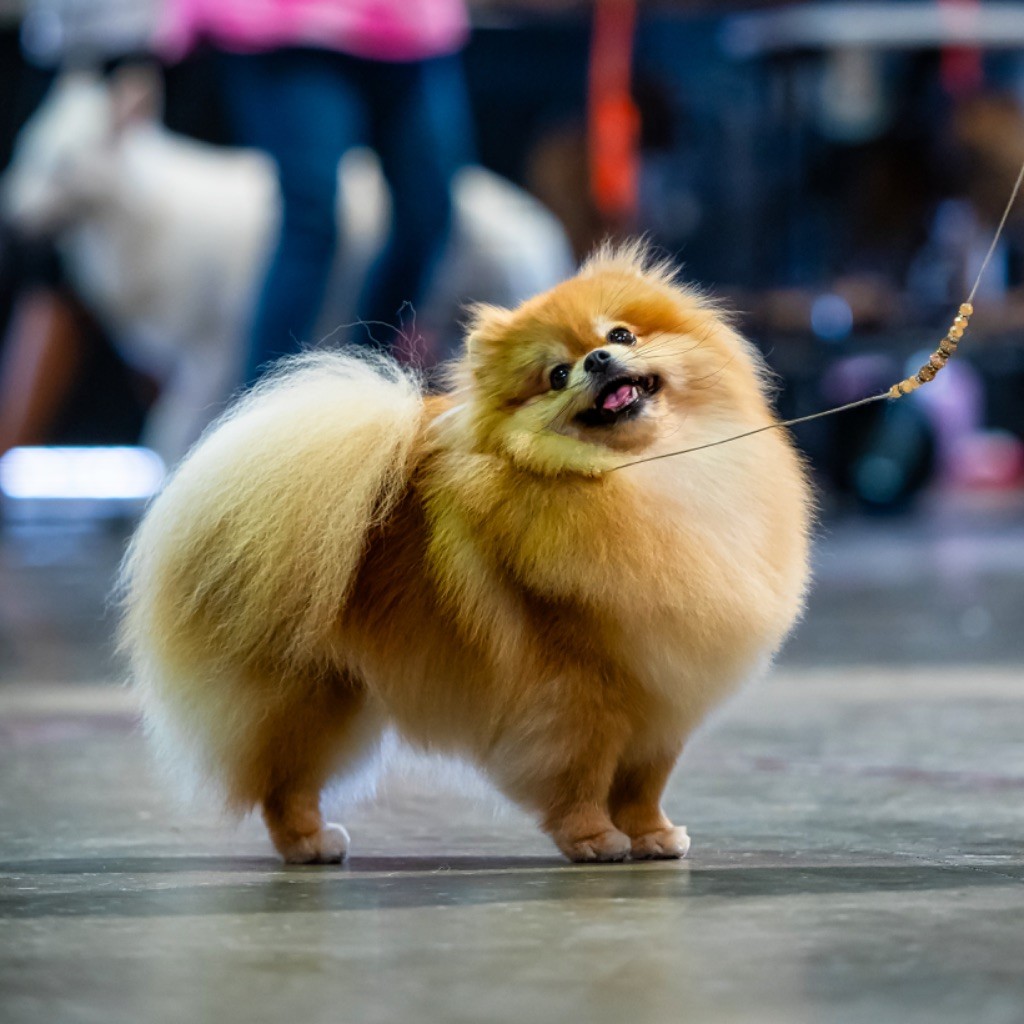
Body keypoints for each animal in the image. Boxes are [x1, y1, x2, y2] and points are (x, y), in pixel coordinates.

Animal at [2, 68, 577, 460]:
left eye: (61, 166)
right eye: (28, 154)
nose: (12, 218)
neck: (145, 214)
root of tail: (532, 219)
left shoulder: (211, 357)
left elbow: (168, 434)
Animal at [117, 243, 806, 860]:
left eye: (622, 334)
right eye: (557, 375)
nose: (598, 359)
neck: (647, 477)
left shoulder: (666, 692)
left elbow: (643, 785)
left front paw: (653, 836)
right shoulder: (580, 694)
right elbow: (582, 776)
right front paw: (594, 840)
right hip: (311, 697)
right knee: (283, 781)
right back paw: (310, 843)